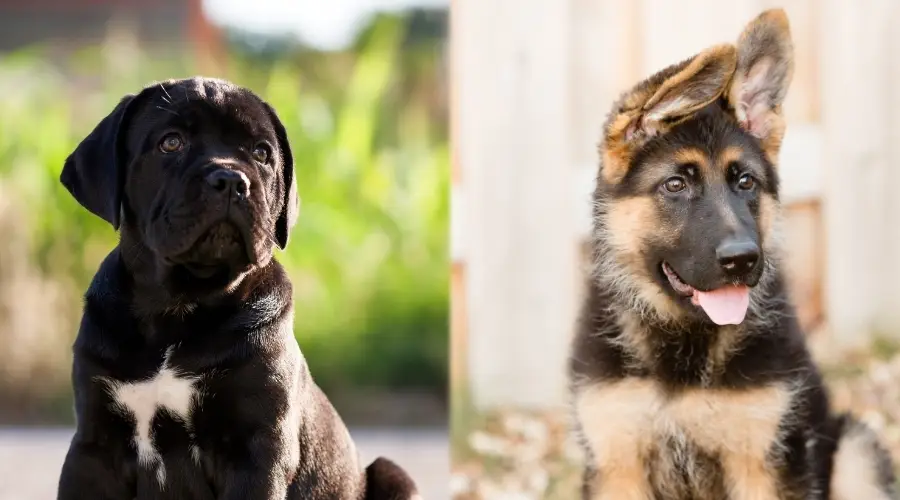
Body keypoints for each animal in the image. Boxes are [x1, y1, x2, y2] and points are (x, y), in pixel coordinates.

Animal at [57, 77, 422, 500]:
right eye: (171, 142)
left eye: (262, 152)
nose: (231, 180)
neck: (179, 303)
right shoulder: (94, 449)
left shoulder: (257, 448)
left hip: (395, 474)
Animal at [572, 7, 896, 500]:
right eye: (675, 185)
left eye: (745, 182)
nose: (743, 260)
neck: (684, 341)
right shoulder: (617, 465)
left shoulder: (764, 463)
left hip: (856, 452)